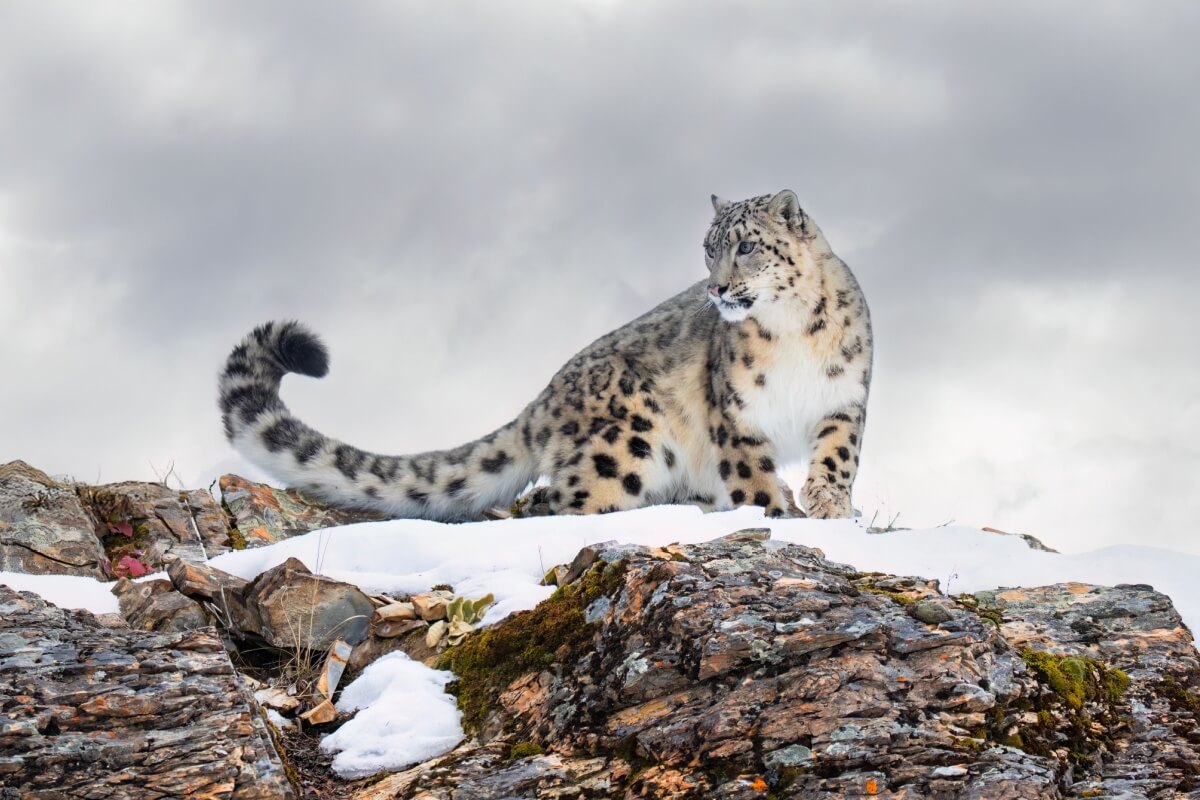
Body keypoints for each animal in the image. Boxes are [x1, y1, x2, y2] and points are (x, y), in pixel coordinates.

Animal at [218, 190, 872, 521]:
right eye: (707, 250)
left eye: (745, 246)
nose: (715, 288)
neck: (793, 333)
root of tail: (543, 400)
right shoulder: (735, 414)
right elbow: (752, 477)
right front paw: (776, 513)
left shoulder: (844, 398)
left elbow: (837, 456)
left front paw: (829, 506)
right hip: (626, 446)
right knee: (561, 501)